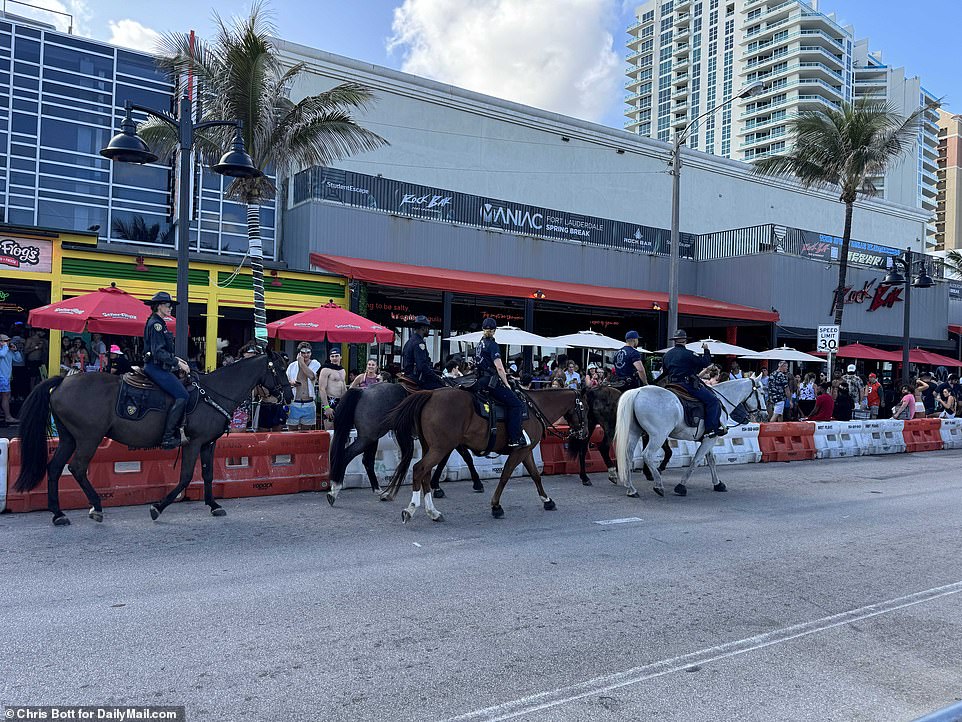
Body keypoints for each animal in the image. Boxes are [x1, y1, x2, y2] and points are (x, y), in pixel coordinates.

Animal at [12, 348, 288, 524]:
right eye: (278, 369)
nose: (288, 395)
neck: (213, 393)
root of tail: (61, 382)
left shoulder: (208, 443)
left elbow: (208, 475)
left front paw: (214, 505)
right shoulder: (194, 442)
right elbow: (186, 477)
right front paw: (157, 507)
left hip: (70, 438)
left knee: (55, 468)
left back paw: (58, 514)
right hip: (88, 438)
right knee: (77, 468)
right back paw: (96, 507)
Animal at [326, 386, 484, 504]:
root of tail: (363, 392)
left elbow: (451, 459)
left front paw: (436, 485)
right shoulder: (449, 441)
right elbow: (464, 458)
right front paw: (476, 483)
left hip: (372, 437)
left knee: (367, 461)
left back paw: (378, 490)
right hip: (369, 437)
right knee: (348, 455)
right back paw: (335, 489)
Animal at [378, 388, 580, 524]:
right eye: (584, 407)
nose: (582, 432)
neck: (532, 410)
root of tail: (431, 394)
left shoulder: (526, 451)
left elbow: (536, 475)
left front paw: (547, 500)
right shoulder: (520, 450)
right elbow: (505, 475)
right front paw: (496, 506)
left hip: (432, 446)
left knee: (425, 474)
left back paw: (433, 512)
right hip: (440, 447)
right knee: (419, 469)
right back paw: (411, 509)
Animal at [616, 374, 764, 498]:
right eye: (762, 392)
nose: (764, 414)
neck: (722, 401)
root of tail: (638, 392)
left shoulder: (709, 438)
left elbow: (711, 460)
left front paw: (717, 484)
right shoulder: (710, 439)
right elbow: (696, 461)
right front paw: (681, 486)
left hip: (635, 432)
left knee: (628, 455)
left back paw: (631, 489)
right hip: (658, 436)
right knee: (647, 455)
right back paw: (658, 485)